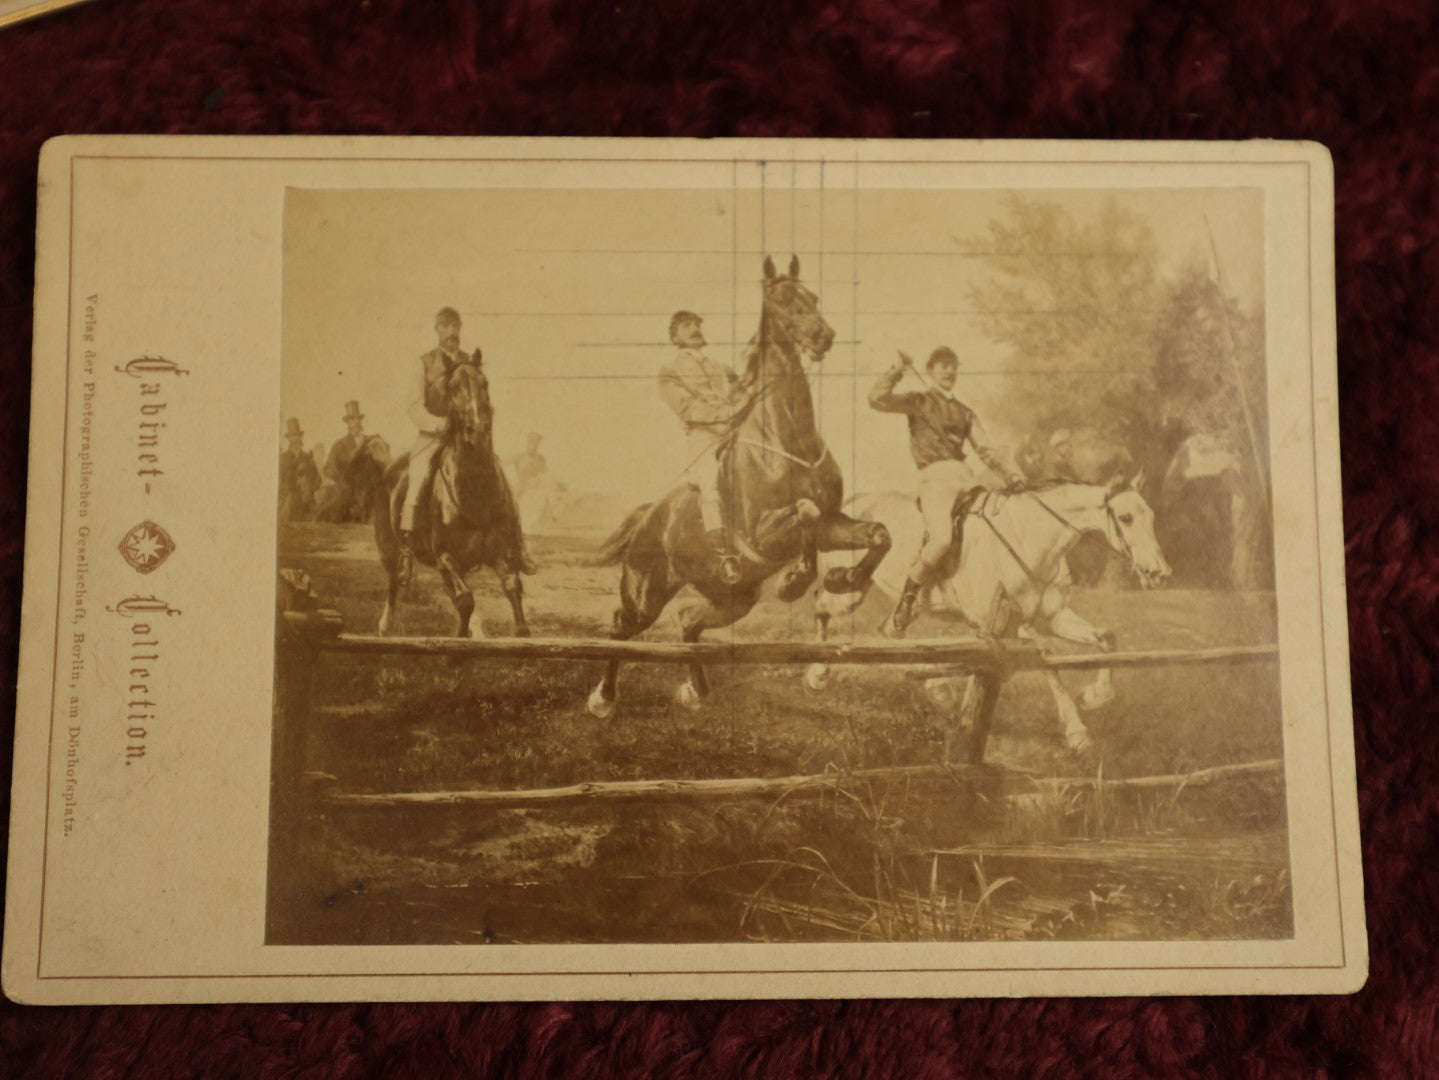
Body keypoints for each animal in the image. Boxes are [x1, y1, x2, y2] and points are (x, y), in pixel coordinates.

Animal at [345, 363, 532, 638]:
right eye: (452, 388)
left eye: (484, 383)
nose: (477, 429)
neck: (476, 494)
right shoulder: (445, 556)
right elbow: (465, 600)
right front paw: (462, 636)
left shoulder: (501, 551)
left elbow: (512, 585)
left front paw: (521, 631)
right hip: (389, 550)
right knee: (395, 582)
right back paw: (385, 626)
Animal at [589, 255, 892, 719]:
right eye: (781, 300)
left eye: (812, 295)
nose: (822, 335)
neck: (788, 439)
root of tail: (649, 517)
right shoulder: (761, 535)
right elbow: (804, 512)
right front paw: (797, 581)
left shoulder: (831, 522)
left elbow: (876, 534)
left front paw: (844, 579)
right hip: (647, 593)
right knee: (622, 626)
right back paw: (603, 699)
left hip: (734, 598)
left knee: (688, 621)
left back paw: (695, 691)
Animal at [811, 477, 1168, 753]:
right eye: (1126, 517)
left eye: (1151, 515)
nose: (1159, 573)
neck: (1029, 539)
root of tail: (855, 504)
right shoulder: (1005, 627)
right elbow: (1045, 660)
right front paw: (1076, 731)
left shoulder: (1052, 617)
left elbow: (1106, 637)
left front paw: (1094, 697)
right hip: (851, 592)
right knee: (824, 608)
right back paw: (818, 675)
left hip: (893, 604)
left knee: (889, 631)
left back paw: (935, 688)